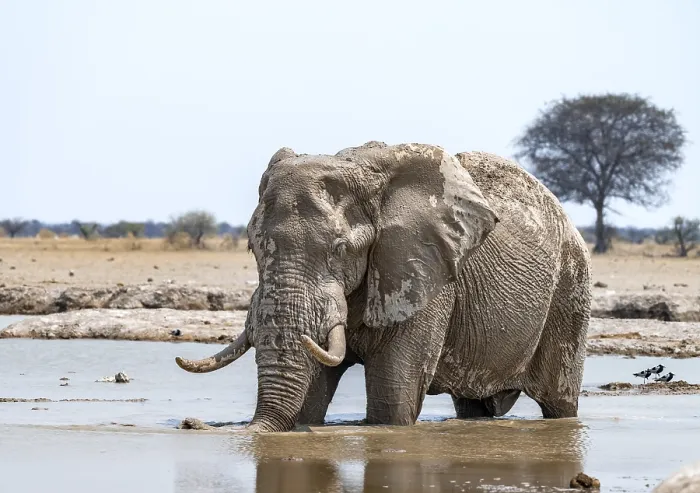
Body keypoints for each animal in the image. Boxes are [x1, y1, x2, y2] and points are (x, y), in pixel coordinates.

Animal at [175, 141, 592, 433]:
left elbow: (393, 400)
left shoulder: (424, 273)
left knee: (559, 401)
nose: (190, 424)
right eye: (253, 247)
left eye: (341, 249)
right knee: (471, 407)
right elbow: (311, 398)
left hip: (571, 290)